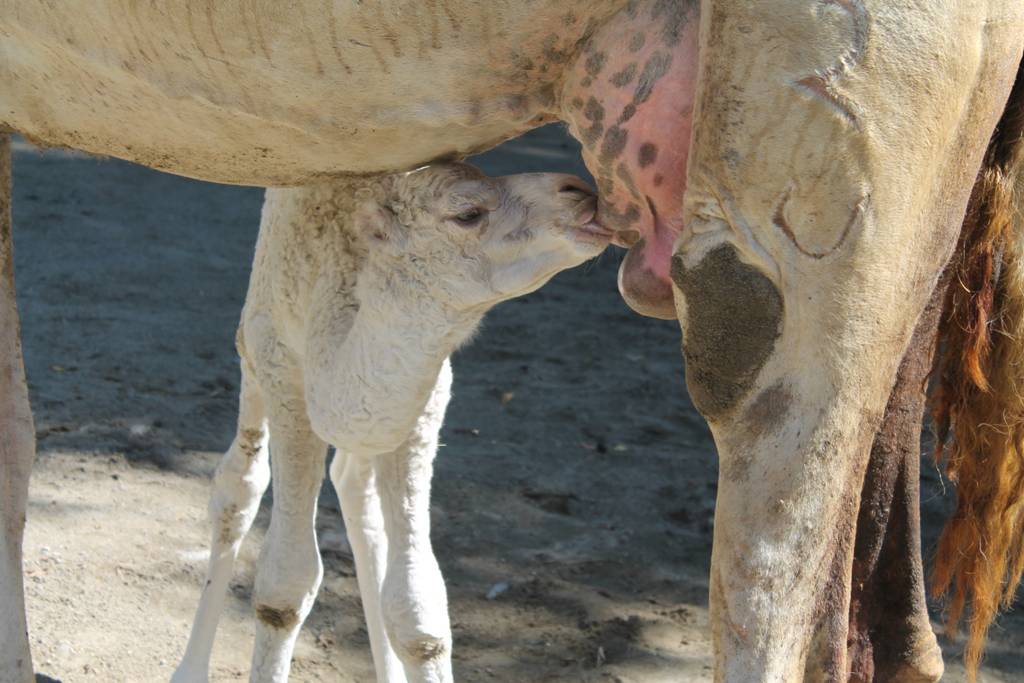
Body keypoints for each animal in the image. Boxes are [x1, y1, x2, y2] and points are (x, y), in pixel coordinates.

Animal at [172, 161, 610, 683]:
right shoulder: (284, 373)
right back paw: (189, 668)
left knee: (352, 483)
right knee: (238, 488)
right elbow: (284, 590)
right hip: (255, 341)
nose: (579, 190)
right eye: (467, 212)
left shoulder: (421, 408)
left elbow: (419, 612)